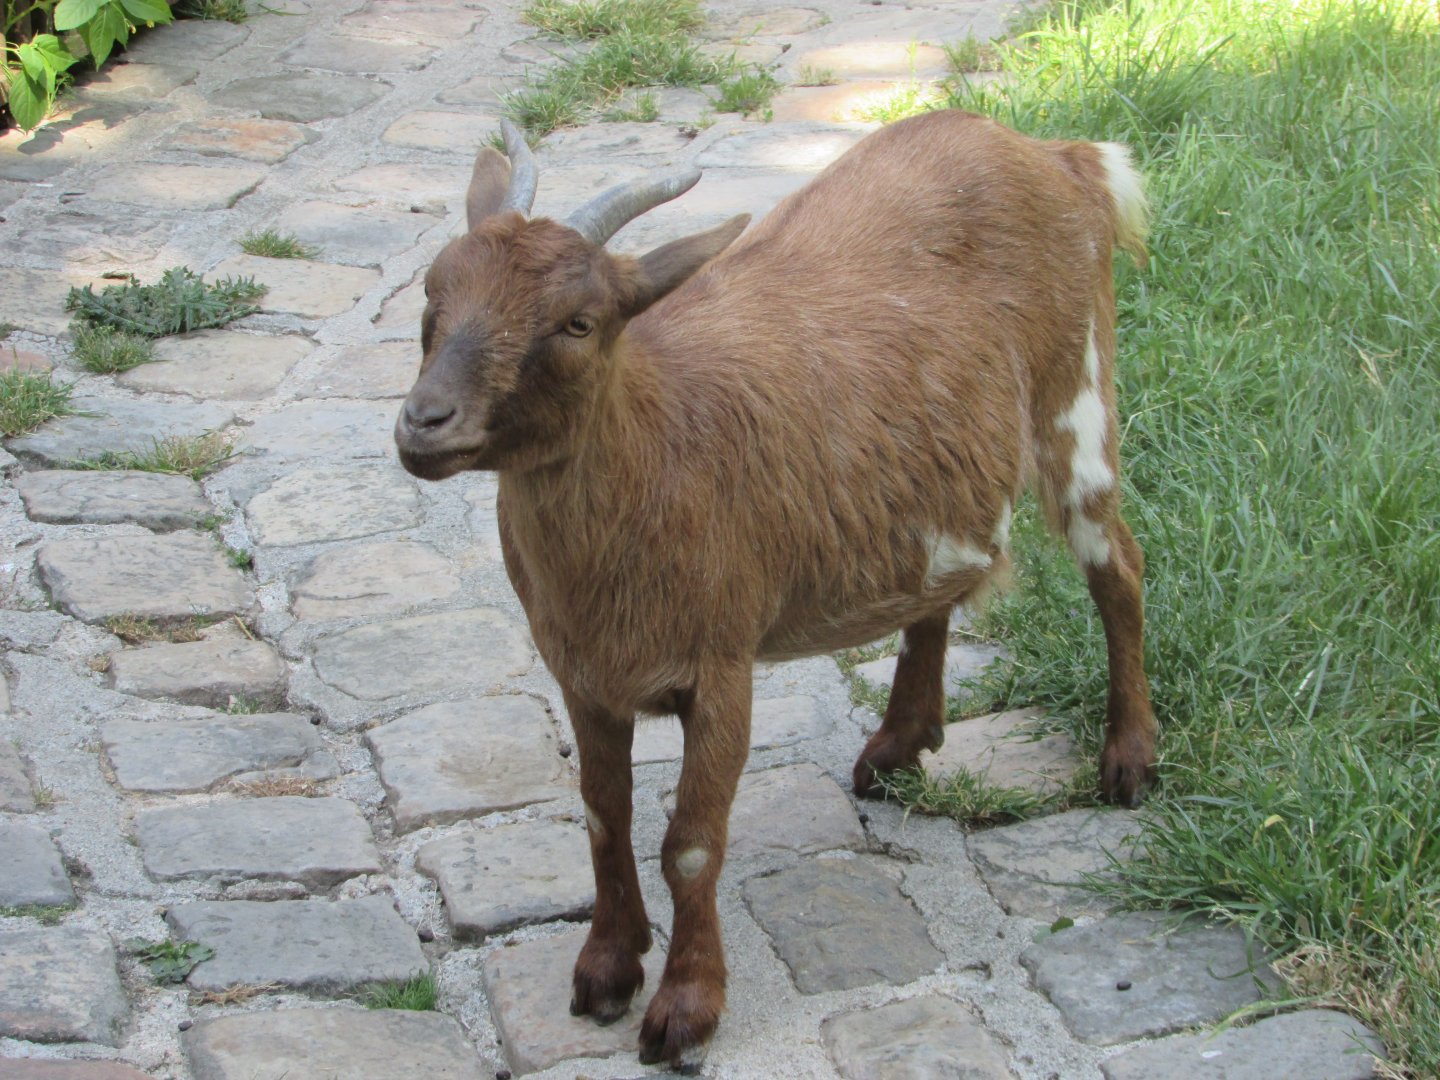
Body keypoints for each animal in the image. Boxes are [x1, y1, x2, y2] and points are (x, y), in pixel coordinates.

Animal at [395, 111, 1158, 1068]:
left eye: (578, 321)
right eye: (433, 293)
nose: (423, 423)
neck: (657, 451)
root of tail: (1061, 157)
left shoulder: (720, 663)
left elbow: (690, 841)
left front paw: (685, 1008)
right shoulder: (584, 676)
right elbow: (605, 815)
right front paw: (606, 969)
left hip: (1078, 397)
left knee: (1118, 568)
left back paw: (1129, 759)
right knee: (941, 582)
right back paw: (898, 746)